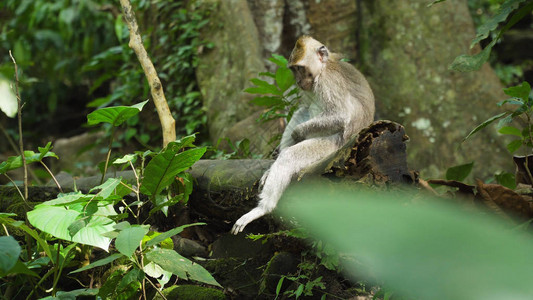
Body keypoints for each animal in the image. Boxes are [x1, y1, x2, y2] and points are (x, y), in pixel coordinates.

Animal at [230, 35, 374, 234]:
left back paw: (263, 208)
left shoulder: (329, 83)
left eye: (300, 68)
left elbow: (340, 115)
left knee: (290, 156)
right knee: (301, 112)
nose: (298, 81)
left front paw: (298, 133)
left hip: (331, 146)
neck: (323, 68)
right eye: (293, 70)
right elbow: (304, 109)